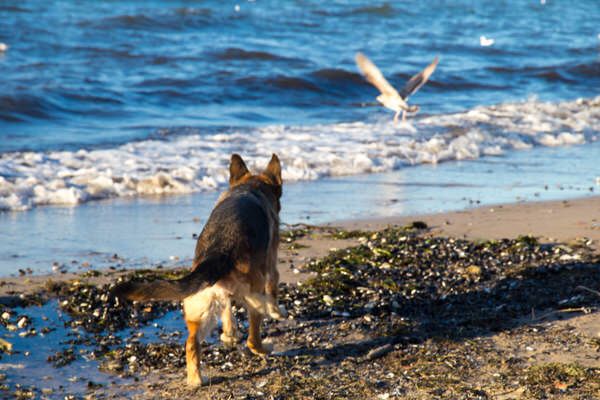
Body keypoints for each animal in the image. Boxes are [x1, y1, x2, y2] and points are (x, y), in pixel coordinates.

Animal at [116, 153, 288, 384]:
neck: (249, 187)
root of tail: (219, 250)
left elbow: (227, 311)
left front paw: (229, 334)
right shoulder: (271, 267)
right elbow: (273, 291)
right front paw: (278, 313)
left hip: (201, 304)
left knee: (191, 343)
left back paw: (196, 379)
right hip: (254, 294)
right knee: (252, 338)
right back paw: (264, 348)